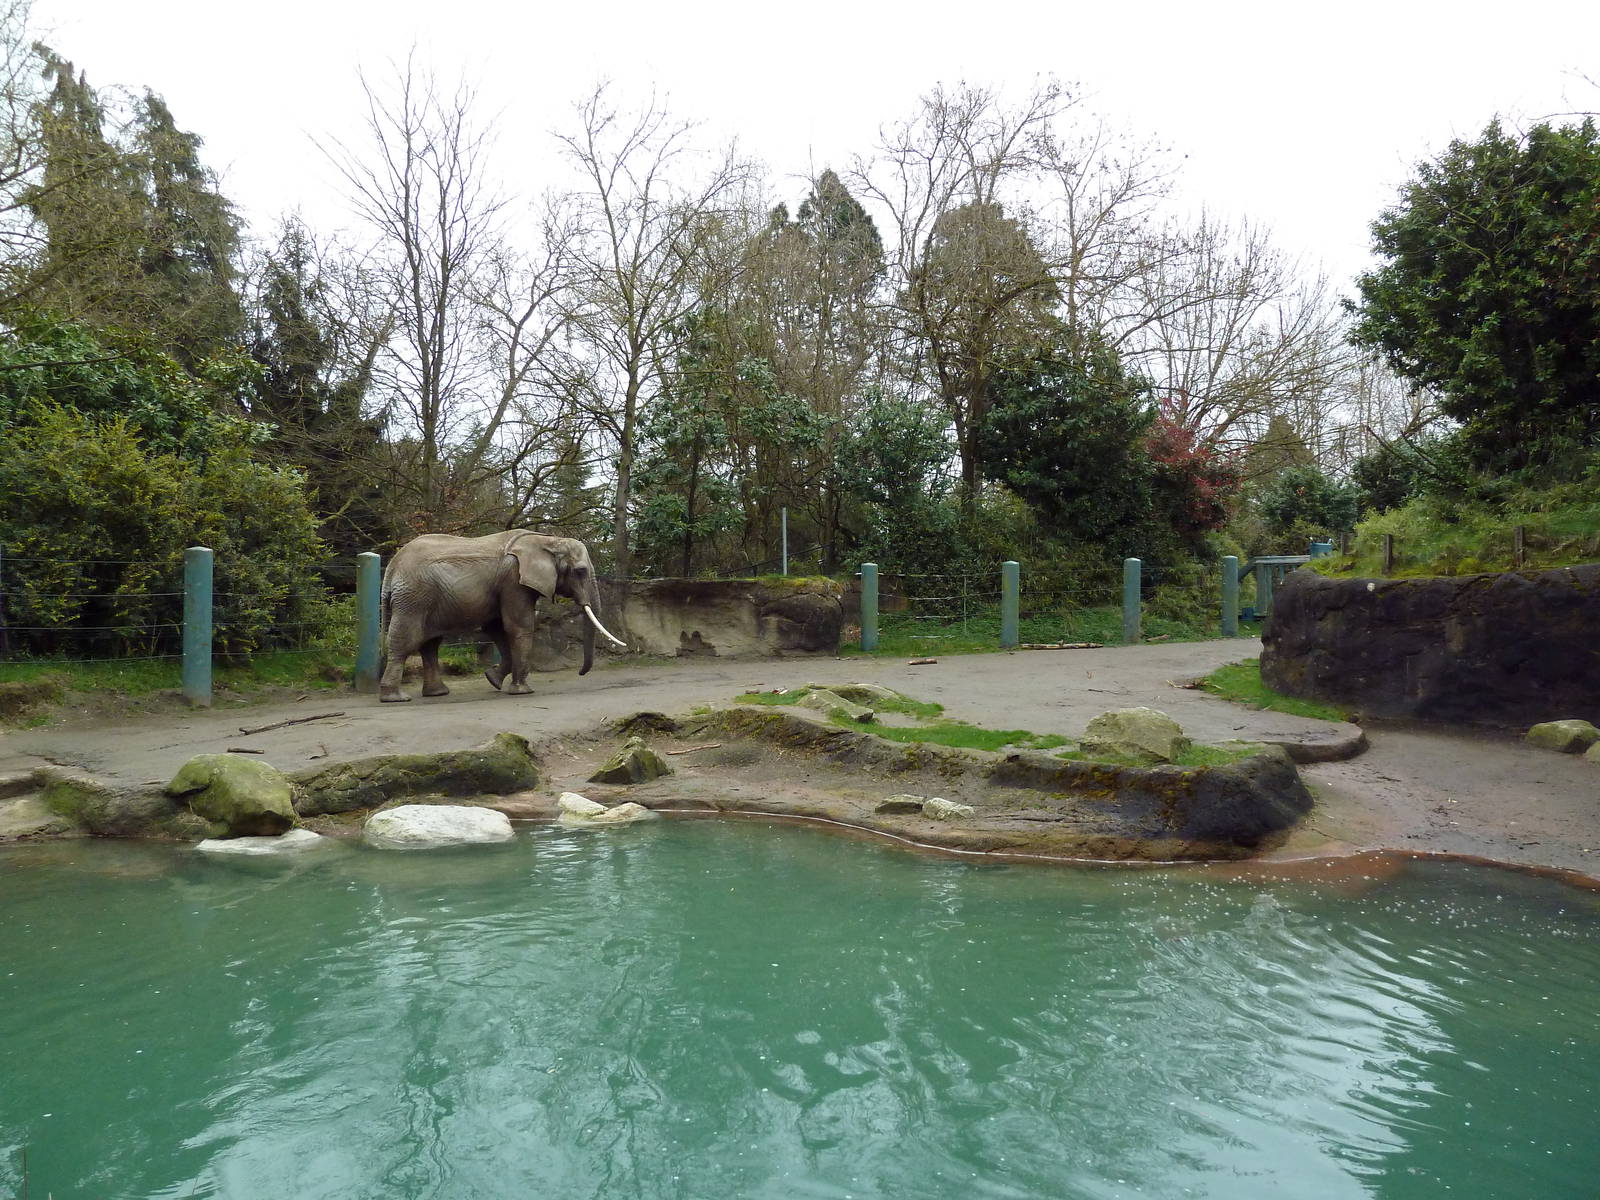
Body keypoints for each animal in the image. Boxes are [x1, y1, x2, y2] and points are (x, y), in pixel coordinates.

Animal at [377, 531, 626, 703]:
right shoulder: (514, 581)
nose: (580, 672)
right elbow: (518, 627)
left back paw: (437, 693)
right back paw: (396, 698)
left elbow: (496, 628)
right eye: (580, 571)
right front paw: (522, 691)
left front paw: (493, 679)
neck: (547, 540)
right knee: (405, 641)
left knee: (430, 644)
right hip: (413, 597)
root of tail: (392, 567)